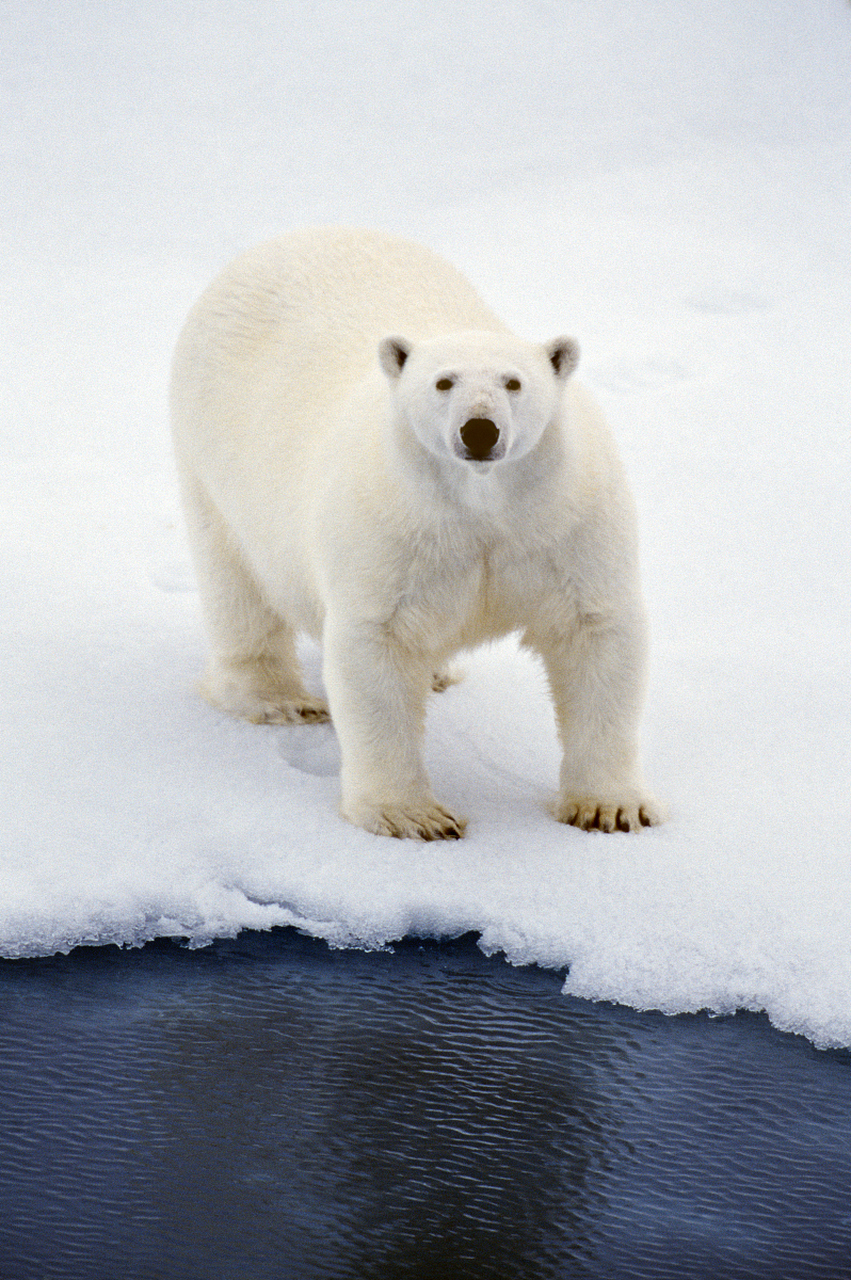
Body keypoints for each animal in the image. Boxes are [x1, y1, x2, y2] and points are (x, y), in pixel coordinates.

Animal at [171, 225, 665, 839]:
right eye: (443, 382)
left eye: (514, 382)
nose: (479, 430)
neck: (483, 503)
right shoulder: (394, 529)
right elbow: (377, 644)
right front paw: (413, 816)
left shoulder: (566, 520)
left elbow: (595, 631)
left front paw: (610, 808)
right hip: (213, 454)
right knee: (235, 581)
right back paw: (277, 699)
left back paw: (436, 673)